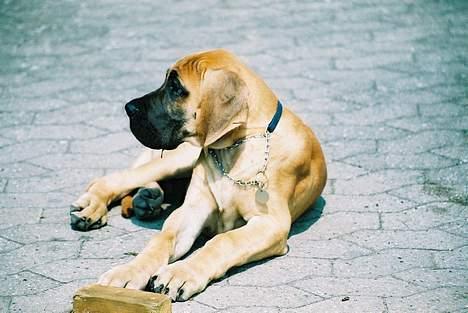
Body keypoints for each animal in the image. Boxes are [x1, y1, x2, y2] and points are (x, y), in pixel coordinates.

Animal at [70, 48, 326, 300]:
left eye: (176, 87)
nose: (128, 108)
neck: (240, 144)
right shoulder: (191, 210)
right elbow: (161, 240)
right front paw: (128, 271)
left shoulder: (270, 223)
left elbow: (224, 240)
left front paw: (181, 273)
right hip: (179, 159)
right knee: (117, 177)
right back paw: (95, 207)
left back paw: (147, 198)